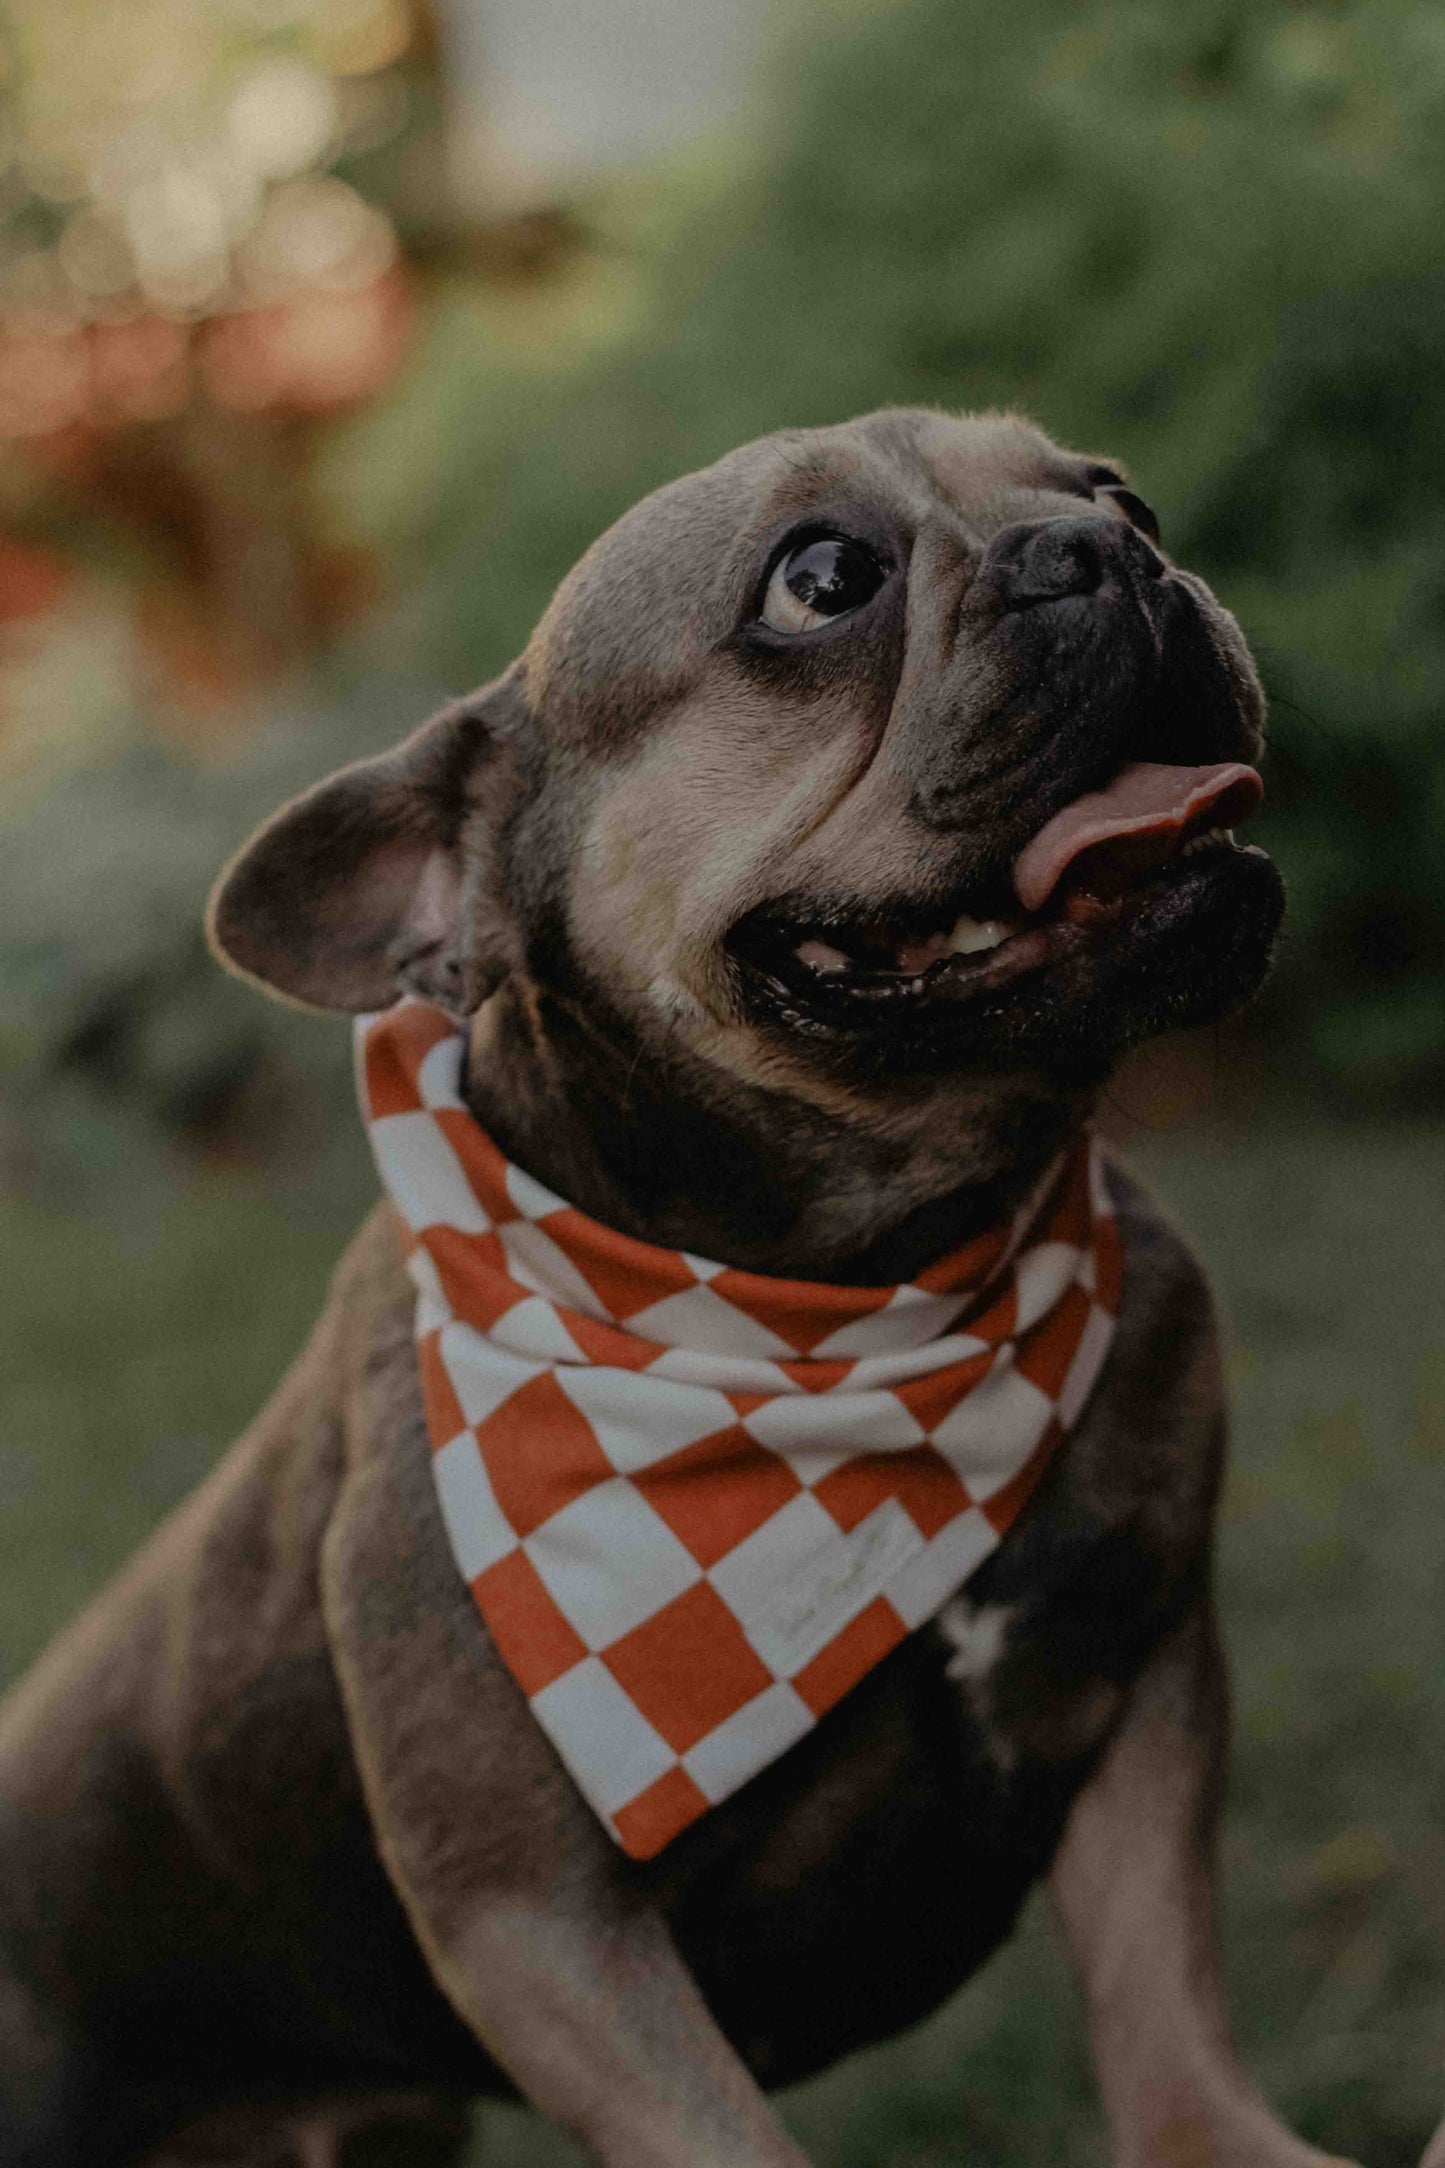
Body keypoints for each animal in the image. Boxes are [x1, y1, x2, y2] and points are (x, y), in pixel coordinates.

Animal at [2, 409, 1360, 2168]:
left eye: (1117, 492)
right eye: (822, 578)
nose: (1108, 547)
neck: (859, 1303)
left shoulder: (1139, 1680)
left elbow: (1163, 2010)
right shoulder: (544, 1929)